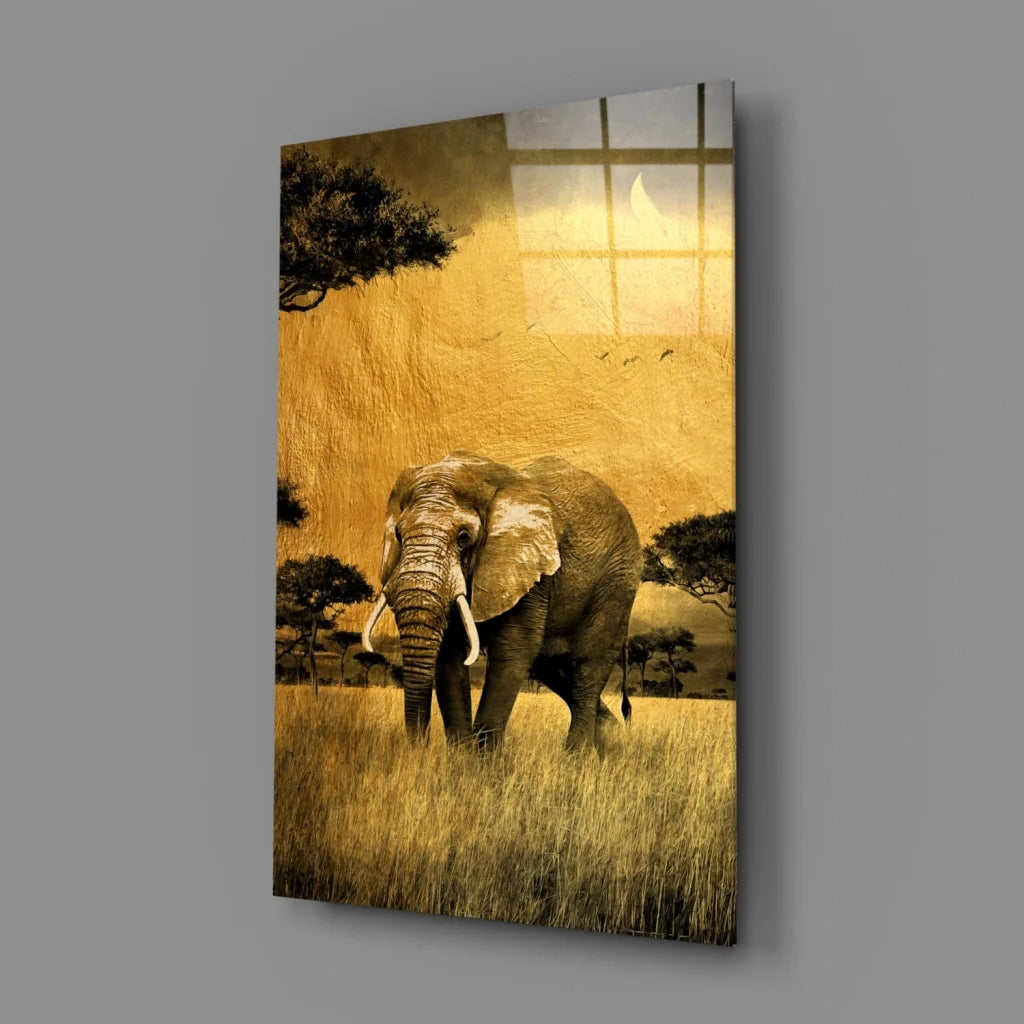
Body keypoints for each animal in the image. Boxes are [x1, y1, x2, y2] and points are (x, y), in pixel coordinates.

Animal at [362, 451, 642, 752]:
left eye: (463, 538)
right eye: (398, 535)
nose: (418, 748)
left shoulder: (529, 570)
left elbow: (512, 650)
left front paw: (484, 763)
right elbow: (449, 655)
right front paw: (460, 759)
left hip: (616, 584)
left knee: (587, 668)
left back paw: (577, 756)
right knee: (551, 668)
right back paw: (609, 738)